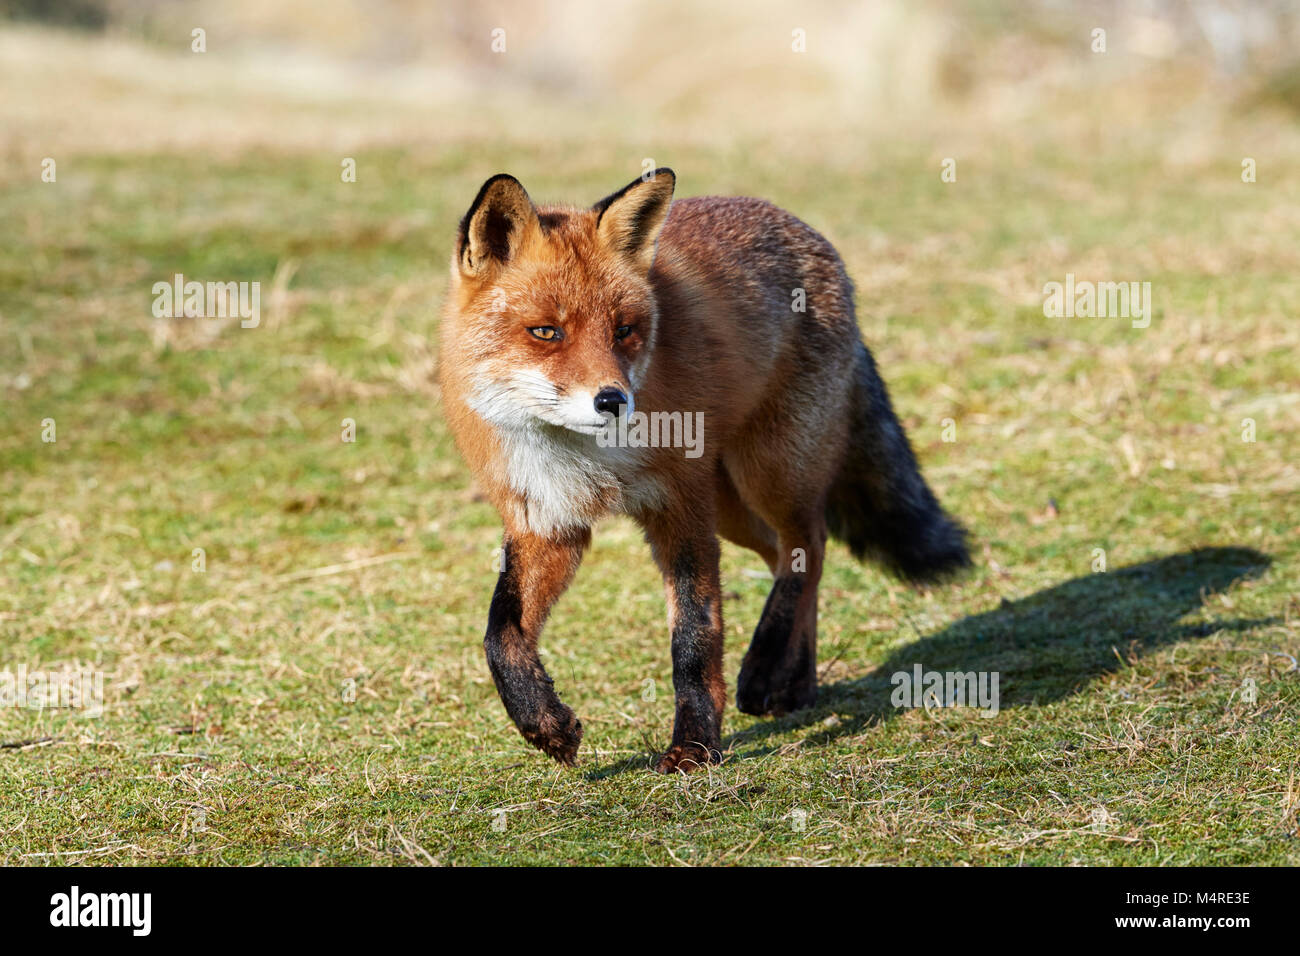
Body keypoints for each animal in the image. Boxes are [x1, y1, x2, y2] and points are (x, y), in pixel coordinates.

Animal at [439, 168, 969, 773]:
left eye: (624, 330)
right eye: (546, 332)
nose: (613, 400)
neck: (586, 455)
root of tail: (805, 229)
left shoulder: (680, 507)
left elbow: (695, 635)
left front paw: (694, 747)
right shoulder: (548, 520)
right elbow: (500, 634)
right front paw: (544, 724)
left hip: (768, 471)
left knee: (808, 544)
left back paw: (765, 669)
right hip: (735, 506)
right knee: (787, 555)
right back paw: (796, 682)